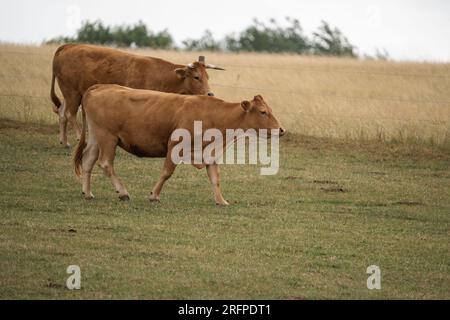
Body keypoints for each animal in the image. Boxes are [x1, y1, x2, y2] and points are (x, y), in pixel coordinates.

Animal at [50, 43, 224, 146]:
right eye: (196, 77)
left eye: (207, 76)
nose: (210, 94)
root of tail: (67, 46)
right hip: (72, 92)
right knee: (70, 114)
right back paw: (79, 138)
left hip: (69, 94)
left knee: (62, 113)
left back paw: (63, 141)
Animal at [73, 84, 284, 205]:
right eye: (263, 112)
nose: (281, 130)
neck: (212, 114)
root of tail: (98, 88)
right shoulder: (174, 146)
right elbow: (167, 172)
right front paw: (154, 195)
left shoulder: (209, 153)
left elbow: (215, 179)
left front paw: (221, 200)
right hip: (107, 137)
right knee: (105, 163)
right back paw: (123, 192)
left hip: (96, 138)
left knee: (88, 161)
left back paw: (87, 193)